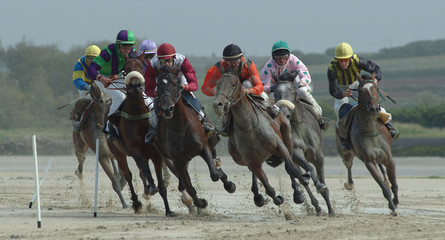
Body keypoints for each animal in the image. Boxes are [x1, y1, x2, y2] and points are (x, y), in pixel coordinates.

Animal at [70, 80, 128, 208]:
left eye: (109, 100)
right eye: (99, 101)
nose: (94, 85)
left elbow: (123, 177)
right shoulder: (102, 155)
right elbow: (115, 182)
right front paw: (125, 203)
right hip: (79, 144)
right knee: (81, 161)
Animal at [153, 66, 236, 210]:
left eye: (175, 83)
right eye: (158, 85)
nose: (167, 109)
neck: (180, 128)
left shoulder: (203, 147)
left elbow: (214, 174)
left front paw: (222, 176)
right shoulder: (178, 161)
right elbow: (190, 187)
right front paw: (201, 203)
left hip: (211, 142)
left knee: (215, 161)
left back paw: (226, 181)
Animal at [212, 70, 306, 207]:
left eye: (233, 85)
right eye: (217, 84)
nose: (217, 105)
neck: (249, 127)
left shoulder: (279, 146)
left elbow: (292, 169)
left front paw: (301, 187)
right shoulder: (252, 162)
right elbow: (268, 187)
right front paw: (275, 199)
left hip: (287, 137)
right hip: (240, 158)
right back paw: (257, 195)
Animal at [274, 72, 332, 217]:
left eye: (292, 91)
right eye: (275, 92)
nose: (283, 112)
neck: (299, 126)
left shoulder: (318, 155)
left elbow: (321, 178)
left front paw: (331, 210)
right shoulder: (296, 153)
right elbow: (309, 171)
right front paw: (318, 186)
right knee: (300, 178)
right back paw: (313, 204)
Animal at [336, 76, 398, 216]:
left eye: (376, 88)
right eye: (362, 91)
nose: (374, 109)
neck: (371, 130)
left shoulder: (389, 158)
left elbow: (394, 184)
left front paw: (395, 202)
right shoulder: (369, 161)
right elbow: (384, 188)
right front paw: (393, 208)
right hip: (346, 154)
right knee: (349, 165)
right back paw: (350, 184)